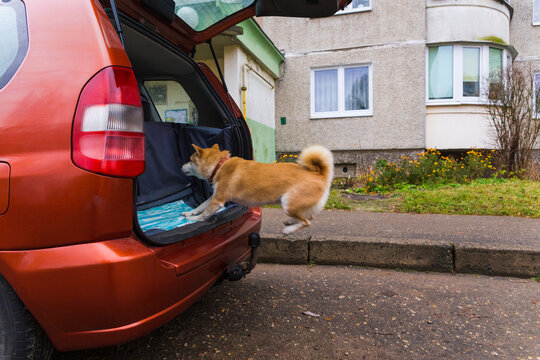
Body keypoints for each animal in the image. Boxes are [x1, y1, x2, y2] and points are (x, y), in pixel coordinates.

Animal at [181, 143, 334, 233]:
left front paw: (194, 219)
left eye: (190, 160)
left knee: (307, 222)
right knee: (309, 216)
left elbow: (204, 214)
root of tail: (319, 175)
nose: (181, 166)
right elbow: (201, 206)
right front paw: (190, 213)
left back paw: (289, 230)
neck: (219, 165)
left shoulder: (217, 201)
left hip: (288, 204)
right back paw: (291, 222)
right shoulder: (214, 196)